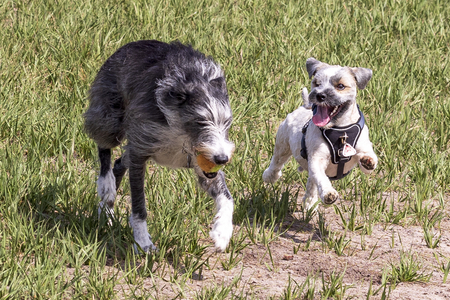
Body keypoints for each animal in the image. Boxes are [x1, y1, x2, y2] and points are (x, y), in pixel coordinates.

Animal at [85, 40, 237, 253]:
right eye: (200, 121)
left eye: (227, 122)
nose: (222, 159)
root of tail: (130, 45)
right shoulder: (140, 152)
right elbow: (139, 206)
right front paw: (143, 242)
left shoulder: (203, 163)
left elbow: (227, 198)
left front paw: (222, 231)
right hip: (110, 118)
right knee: (104, 146)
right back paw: (106, 183)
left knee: (119, 162)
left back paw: (106, 208)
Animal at [262, 57, 378, 210]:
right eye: (317, 83)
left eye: (341, 86)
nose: (320, 94)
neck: (340, 130)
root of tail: (304, 106)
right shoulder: (317, 159)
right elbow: (321, 178)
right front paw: (329, 193)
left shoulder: (362, 148)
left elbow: (369, 160)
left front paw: (368, 160)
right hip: (282, 144)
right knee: (277, 163)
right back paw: (270, 176)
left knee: (311, 182)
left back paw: (310, 202)